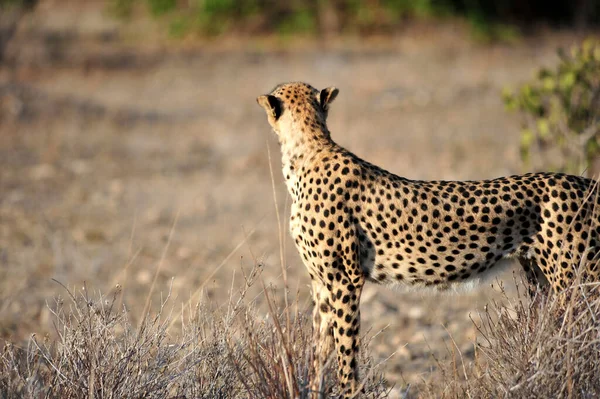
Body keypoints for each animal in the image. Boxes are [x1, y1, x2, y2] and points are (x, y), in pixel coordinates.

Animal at [255, 80, 596, 396]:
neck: (305, 151)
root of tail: (585, 182)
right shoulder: (322, 284)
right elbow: (320, 353)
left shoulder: (346, 279)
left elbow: (345, 350)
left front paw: (349, 390)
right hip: (543, 278)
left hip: (579, 281)